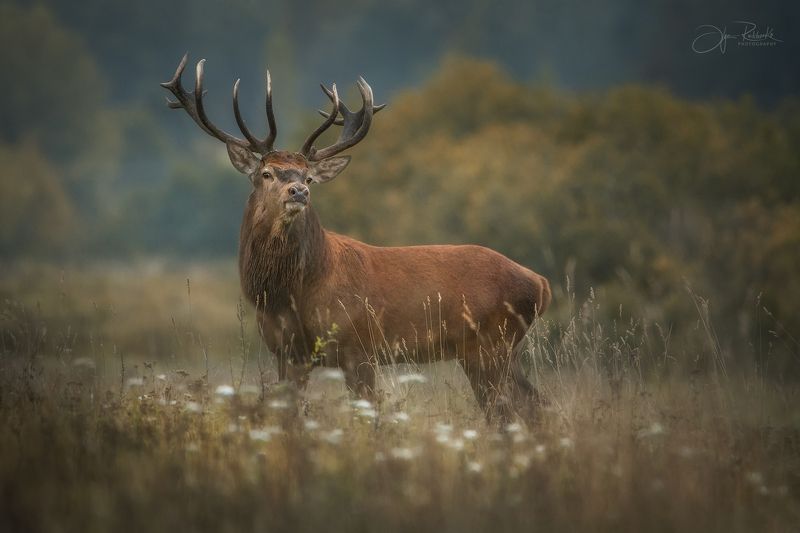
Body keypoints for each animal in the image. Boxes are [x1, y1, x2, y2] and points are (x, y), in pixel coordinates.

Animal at [161, 55, 551, 424]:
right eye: (266, 173)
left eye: (308, 176)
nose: (299, 191)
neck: (294, 293)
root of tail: (540, 283)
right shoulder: (287, 353)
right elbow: (289, 416)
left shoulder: (360, 348)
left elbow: (369, 415)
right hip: (500, 351)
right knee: (533, 403)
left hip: (489, 346)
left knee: (510, 409)